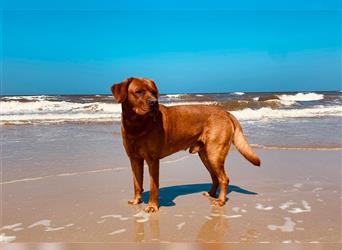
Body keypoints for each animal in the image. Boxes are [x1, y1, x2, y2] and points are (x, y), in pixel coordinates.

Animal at [111, 77, 260, 212]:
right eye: (138, 91)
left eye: (154, 92)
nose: (154, 102)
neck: (136, 126)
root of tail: (226, 112)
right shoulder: (134, 159)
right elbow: (137, 183)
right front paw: (136, 200)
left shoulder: (153, 160)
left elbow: (154, 186)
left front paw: (152, 206)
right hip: (205, 155)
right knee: (215, 177)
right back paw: (211, 193)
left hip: (215, 153)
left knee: (224, 178)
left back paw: (221, 200)